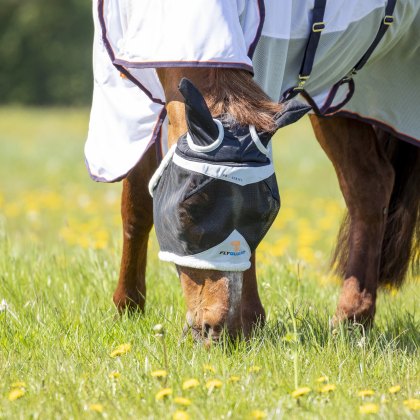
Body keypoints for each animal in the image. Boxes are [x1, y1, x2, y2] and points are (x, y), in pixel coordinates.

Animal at [86, 0, 420, 342]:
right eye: (187, 211)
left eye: (267, 213)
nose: (215, 330)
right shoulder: (132, 100)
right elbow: (138, 205)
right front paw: (128, 307)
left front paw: (248, 321)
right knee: (370, 183)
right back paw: (352, 319)